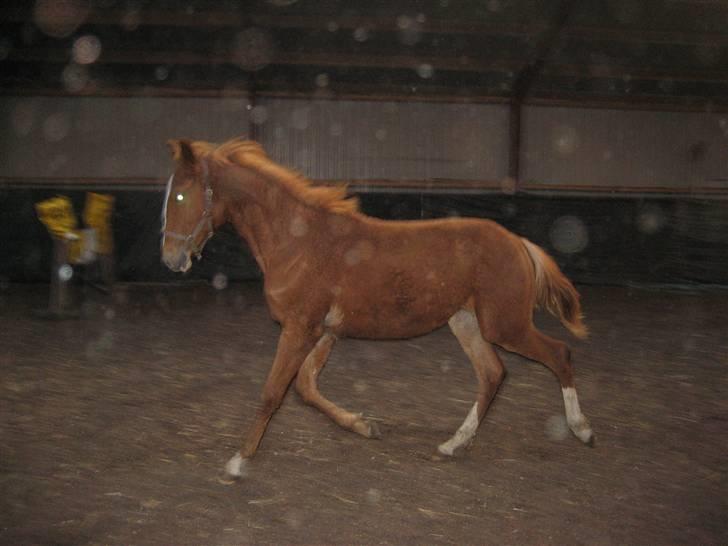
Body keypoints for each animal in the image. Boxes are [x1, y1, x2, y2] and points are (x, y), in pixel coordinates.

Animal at [159, 136, 592, 476]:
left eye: (180, 195)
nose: (170, 259)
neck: (298, 240)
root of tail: (519, 242)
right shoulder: (323, 332)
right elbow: (305, 387)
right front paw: (365, 426)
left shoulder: (300, 328)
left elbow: (272, 392)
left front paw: (239, 459)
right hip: (467, 322)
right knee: (492, 374)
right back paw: (453, 444)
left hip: (504, 325)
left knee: (558, 354)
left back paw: (581, 428)